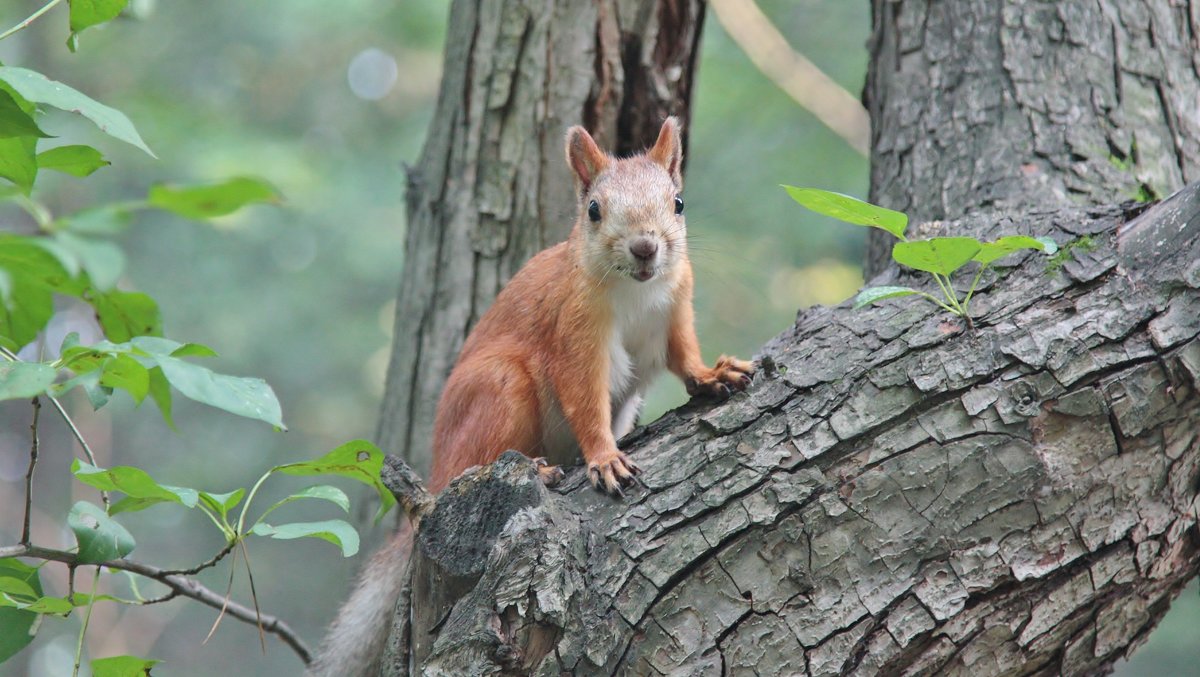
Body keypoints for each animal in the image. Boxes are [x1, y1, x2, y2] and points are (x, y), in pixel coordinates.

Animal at [309, 118, 758, 672]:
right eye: (594, 210)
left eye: (678, 202)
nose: (645, 248)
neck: (636, 291)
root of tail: (433, 468)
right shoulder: (574, 335)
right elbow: (584, 398)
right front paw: (605, 457)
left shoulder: (675, 308)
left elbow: (684, 357)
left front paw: (714, 374)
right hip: (501, 390)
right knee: (466, 469)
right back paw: (535, 469)